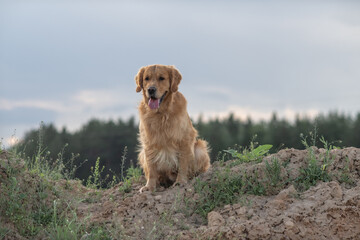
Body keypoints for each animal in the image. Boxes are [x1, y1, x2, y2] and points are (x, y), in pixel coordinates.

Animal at [135, 64, 211, 192]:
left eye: (161, 78)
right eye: (146, 78)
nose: (151, 90)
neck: (160, 113)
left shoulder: (184, 139)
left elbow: (183, 164)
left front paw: (180, 181)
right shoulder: (148, 142)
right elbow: (151, 168)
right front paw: (149, 186)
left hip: (200, 148)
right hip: (141, 154)